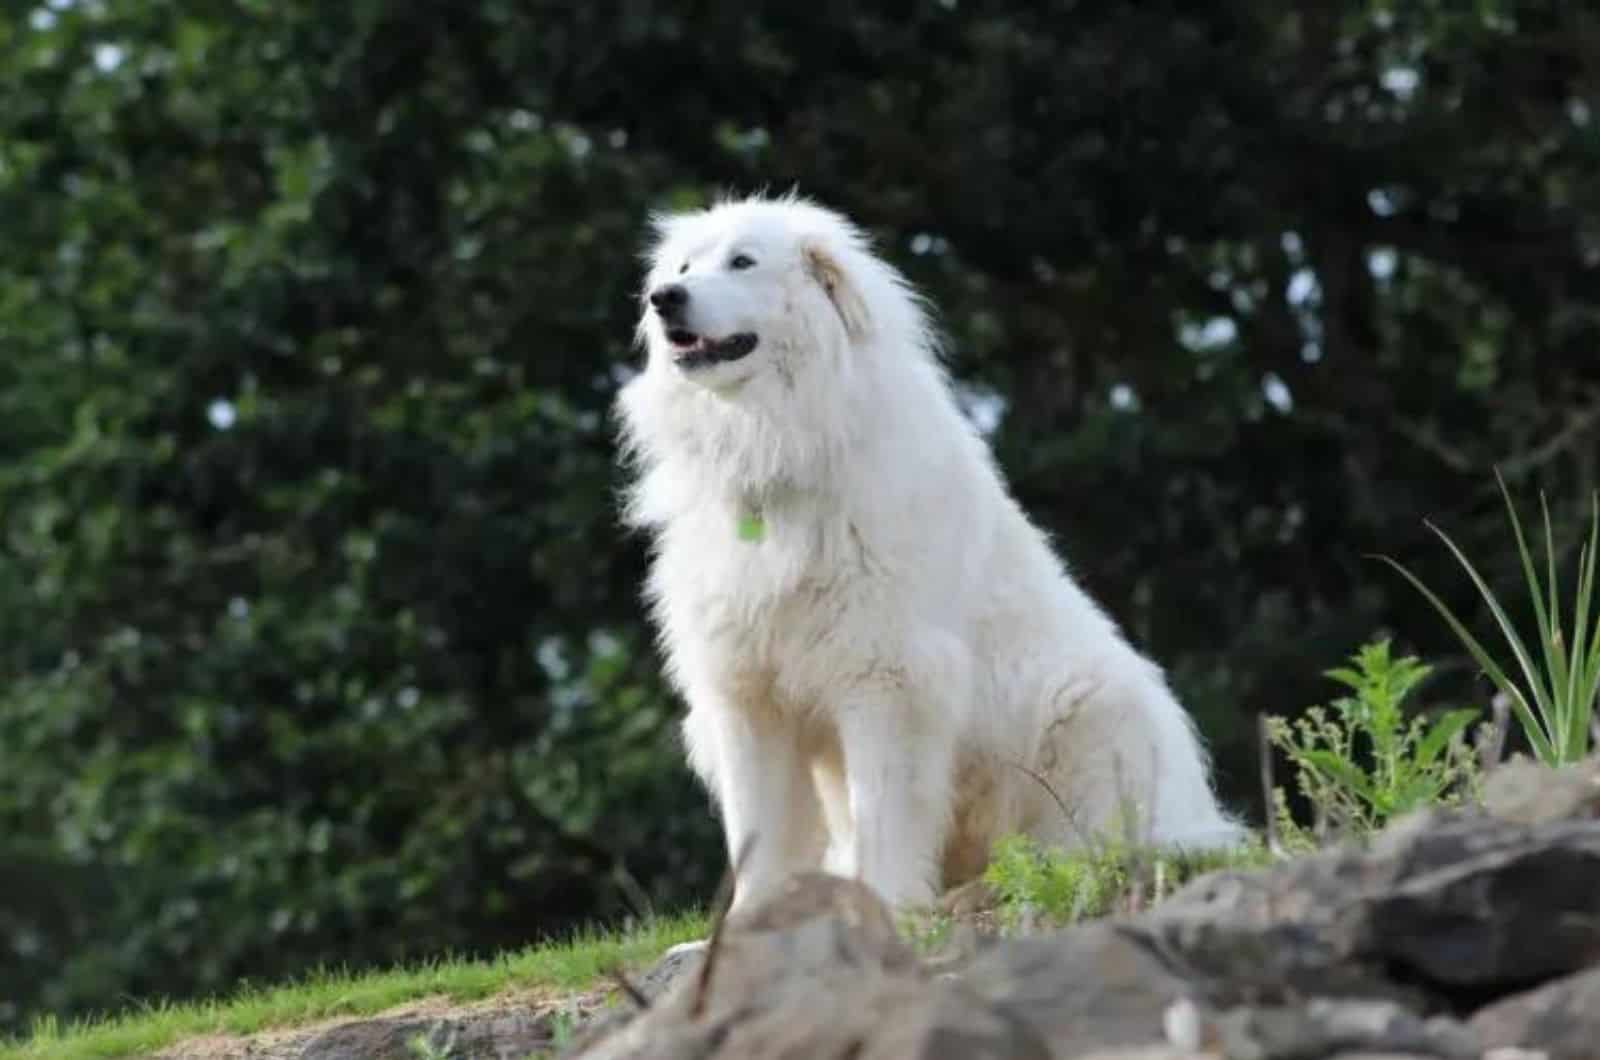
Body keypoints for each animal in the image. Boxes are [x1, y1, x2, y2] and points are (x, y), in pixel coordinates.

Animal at [611, 191, 1235, 915]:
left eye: (742, 262)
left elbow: (884, 810)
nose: (663, 298)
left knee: (1085, 850)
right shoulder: (748, 694)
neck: (778, 442)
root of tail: (1198, 815)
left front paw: (884, 905)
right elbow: (760, 831)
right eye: (684, 266)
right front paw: (757, 923)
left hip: (1097, 710)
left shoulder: (888, 678)